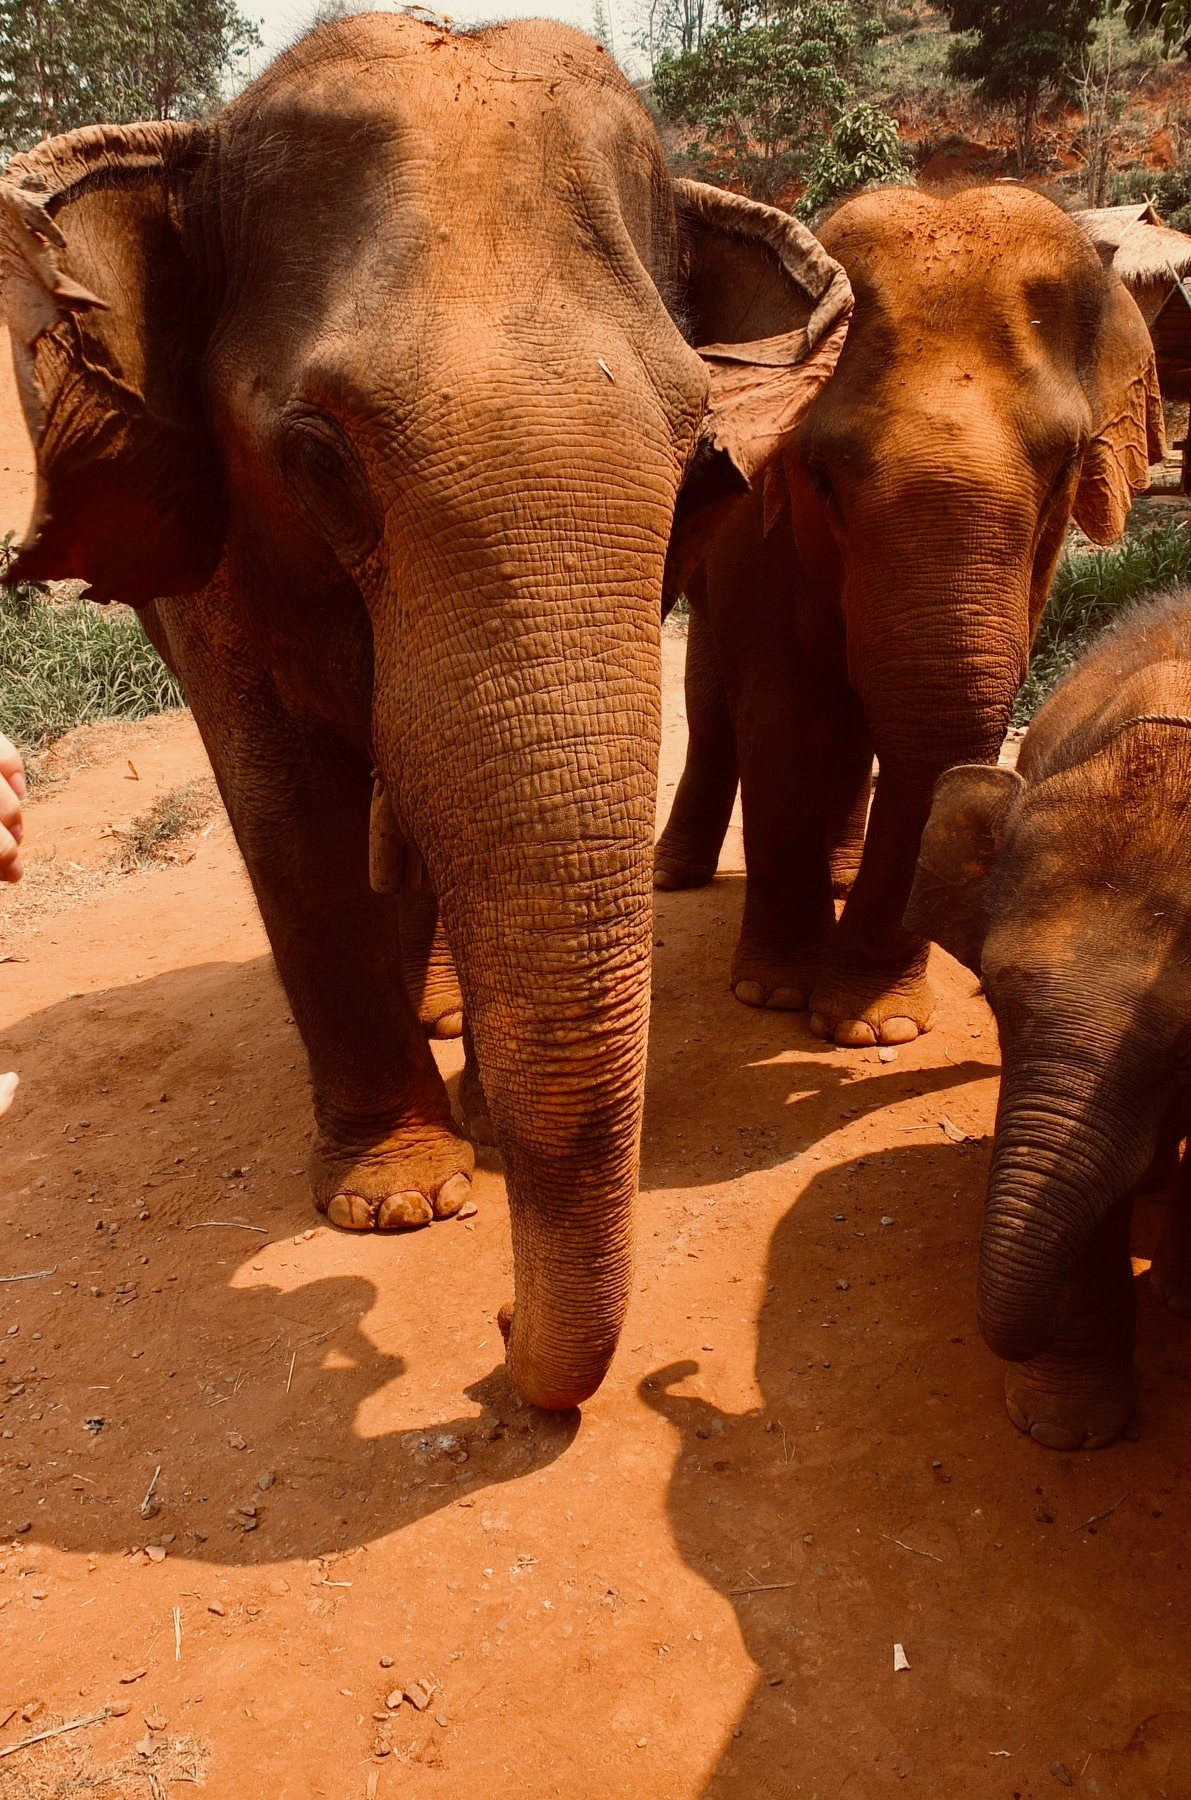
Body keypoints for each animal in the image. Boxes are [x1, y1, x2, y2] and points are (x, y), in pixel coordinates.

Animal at [0, 16, 853, 1409]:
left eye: (695, 464)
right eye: (319, 460)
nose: (497, 1333)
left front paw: (478, 1138)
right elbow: (286, 807)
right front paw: (401, 1204)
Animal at [653, 184, 1165, 1048]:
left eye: (1063, 464)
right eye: (820, 472)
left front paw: (870, 1025)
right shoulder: (755, 530)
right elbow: (780, 711)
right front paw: (773, 995)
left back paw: (838, 875)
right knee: (716, 695)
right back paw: (674, 875)